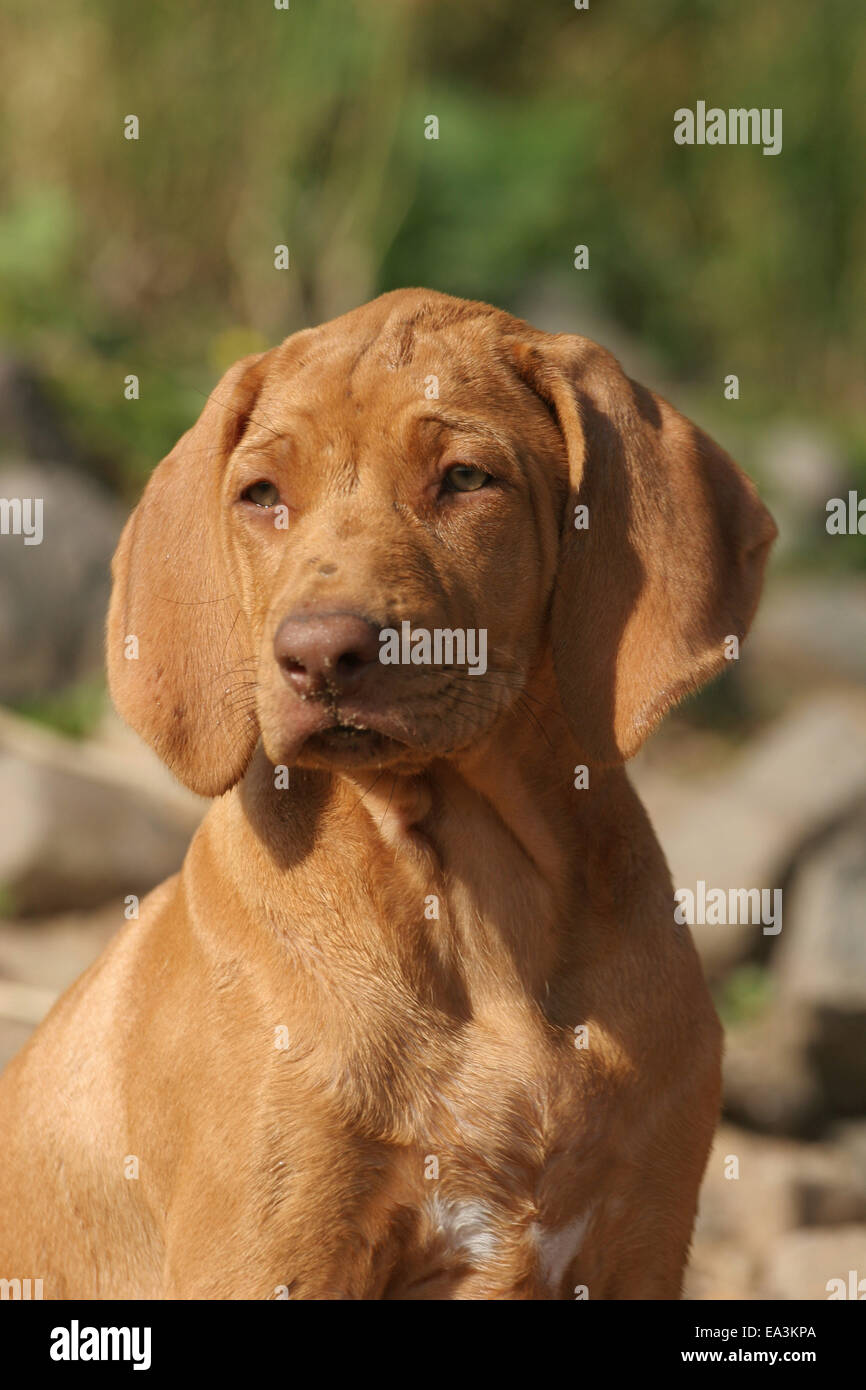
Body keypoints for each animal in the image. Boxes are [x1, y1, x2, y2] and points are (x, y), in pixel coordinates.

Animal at [0, 287, 778, 1295]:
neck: (475, 893)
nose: (317, 655)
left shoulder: (641, 1239)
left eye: (466, 479)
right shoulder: (272, 1253)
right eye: (262, 496)